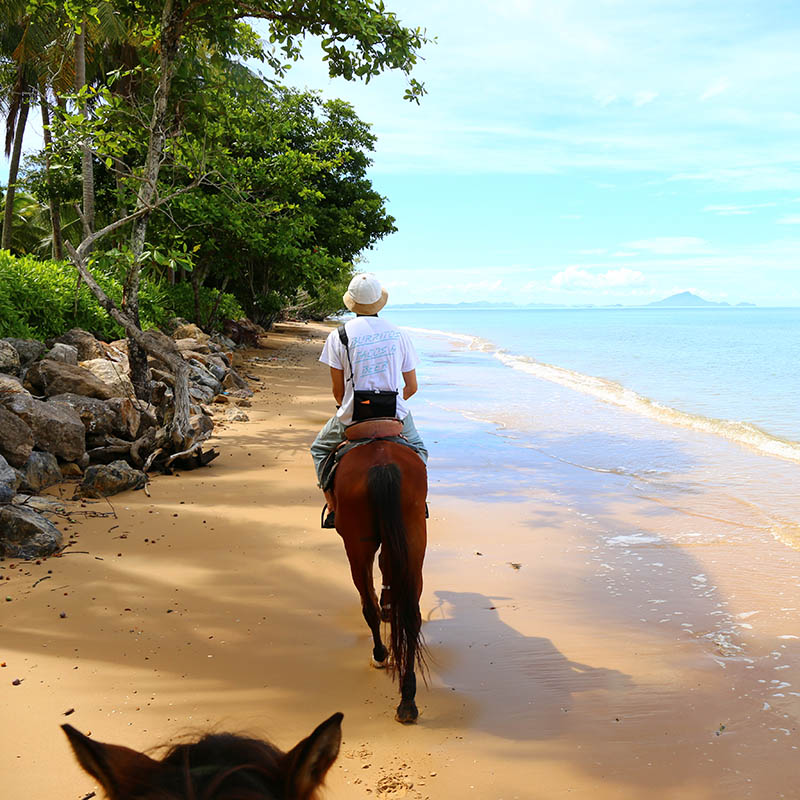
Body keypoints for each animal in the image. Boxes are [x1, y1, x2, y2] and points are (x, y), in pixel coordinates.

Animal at [332, 432, 428, 724]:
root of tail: (383, 465)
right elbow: (387, 565)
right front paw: (389, 605)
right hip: (414, 541)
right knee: (412, 617)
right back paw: (407, 700)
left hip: (356, 545)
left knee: (368, 606)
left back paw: (380, 654)